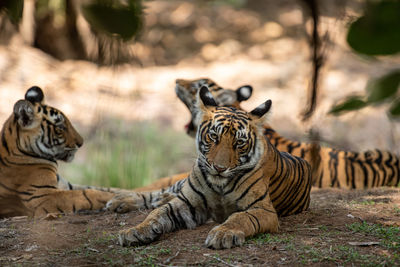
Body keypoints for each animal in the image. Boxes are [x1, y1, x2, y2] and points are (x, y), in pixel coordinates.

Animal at [0, 87, 122, 219]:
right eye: (60, 127)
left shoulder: (64, 185)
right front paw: (117, 199)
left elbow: (106, 188)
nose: (81, 143)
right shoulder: (44, 196)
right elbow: (88, 194)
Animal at [114, 87, 310, 250]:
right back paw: (121, 201)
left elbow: (241, 217)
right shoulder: (187, 202)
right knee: (158, 193)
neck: (219, 185)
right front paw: (135, 231)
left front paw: (223, 234)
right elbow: (157, 213)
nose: (219, 168)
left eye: (239, 143)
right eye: (214, 136)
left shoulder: (262, 209)